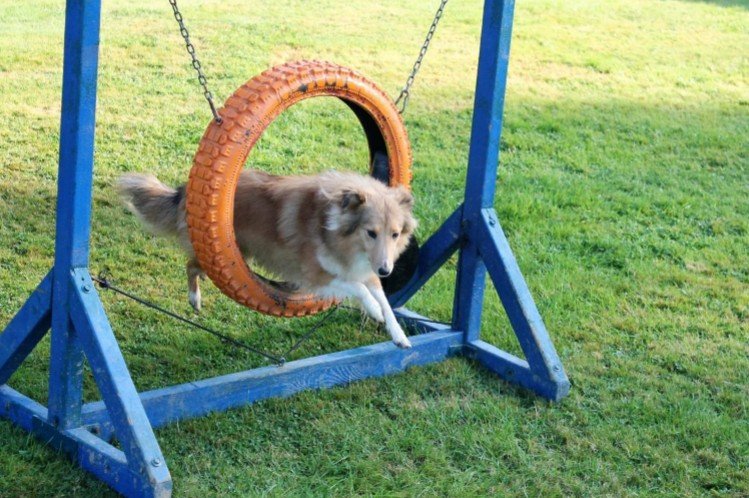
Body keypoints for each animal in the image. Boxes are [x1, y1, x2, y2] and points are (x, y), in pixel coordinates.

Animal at [120, 169, 418, 348]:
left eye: (395, 234)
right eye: (371, 232)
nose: (386, 270)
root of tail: (185, 190)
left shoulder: (364, 270)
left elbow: (383, 299)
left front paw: (399, 335)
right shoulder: (313, 275)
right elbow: (359, 290)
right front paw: (374, 310)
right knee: (190, 265)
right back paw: (195, 299)